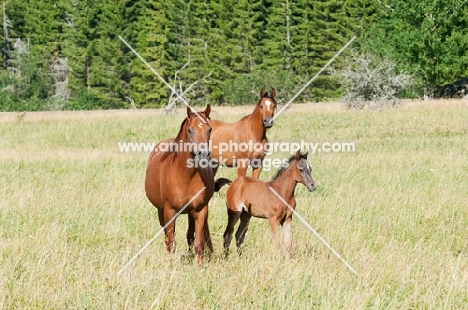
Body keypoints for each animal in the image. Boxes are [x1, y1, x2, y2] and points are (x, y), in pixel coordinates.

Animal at [144, 104, 214, 262]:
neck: (186, 176)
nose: (203, 154)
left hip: (190, 213)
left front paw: (199, 265)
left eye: (209, 129)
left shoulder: (201, 210)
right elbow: (171, 242)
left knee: (191, 236)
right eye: (190, 130)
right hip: (161, 211)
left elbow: (198, 243)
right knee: (167, 237)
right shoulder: (169, 211)